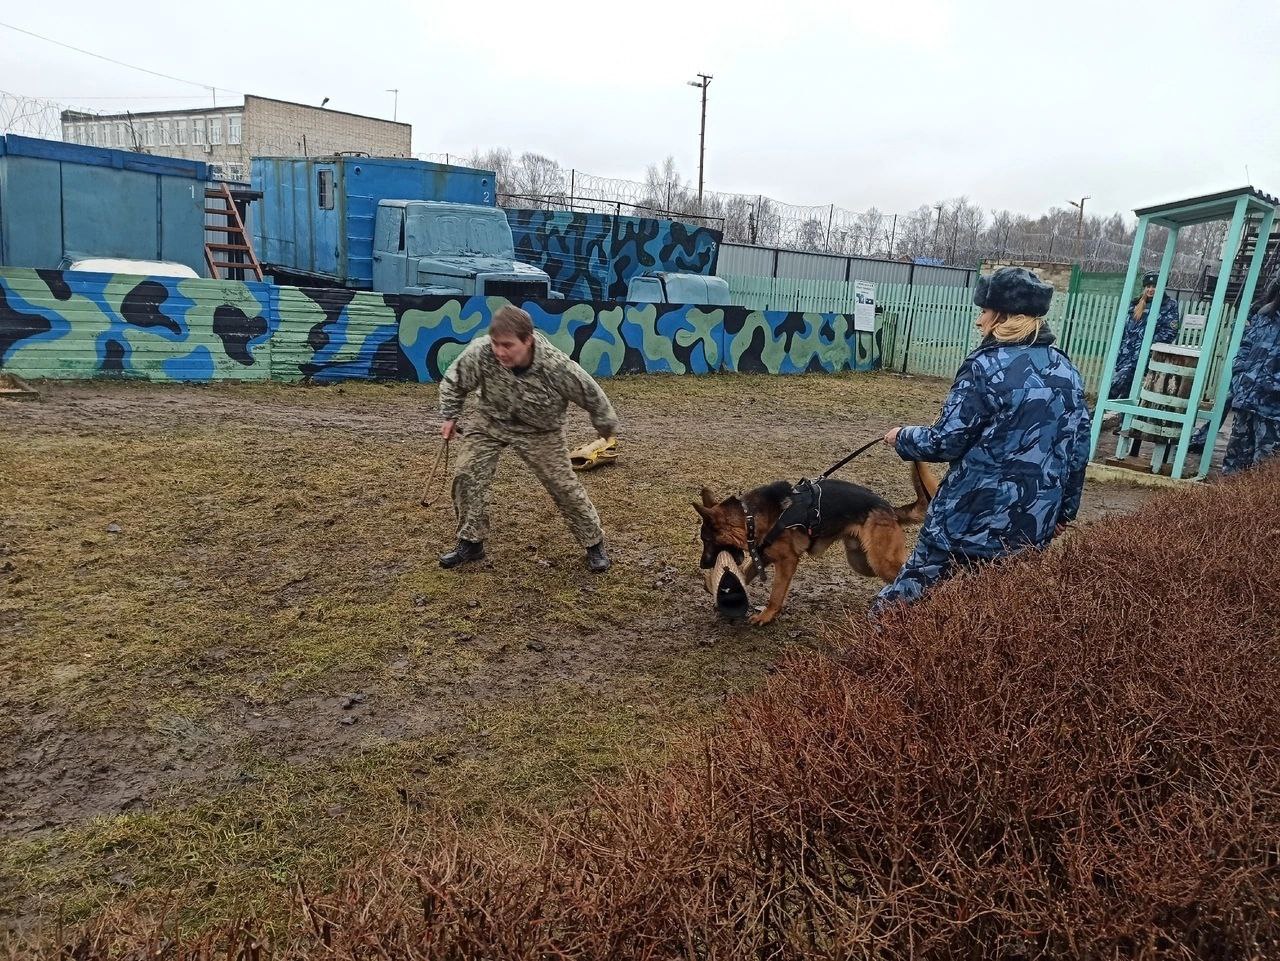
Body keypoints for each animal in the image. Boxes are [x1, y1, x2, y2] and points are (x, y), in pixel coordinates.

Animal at [696, 463, 936, 627]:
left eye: (706, 540)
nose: (702, 564)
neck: (750, 518)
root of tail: (889, 508)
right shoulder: (762, 555)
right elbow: (744, 574)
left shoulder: (787, 561)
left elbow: (776, 593)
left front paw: (767, 615)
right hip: (862, 562)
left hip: (880, 561)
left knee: (911, 571)